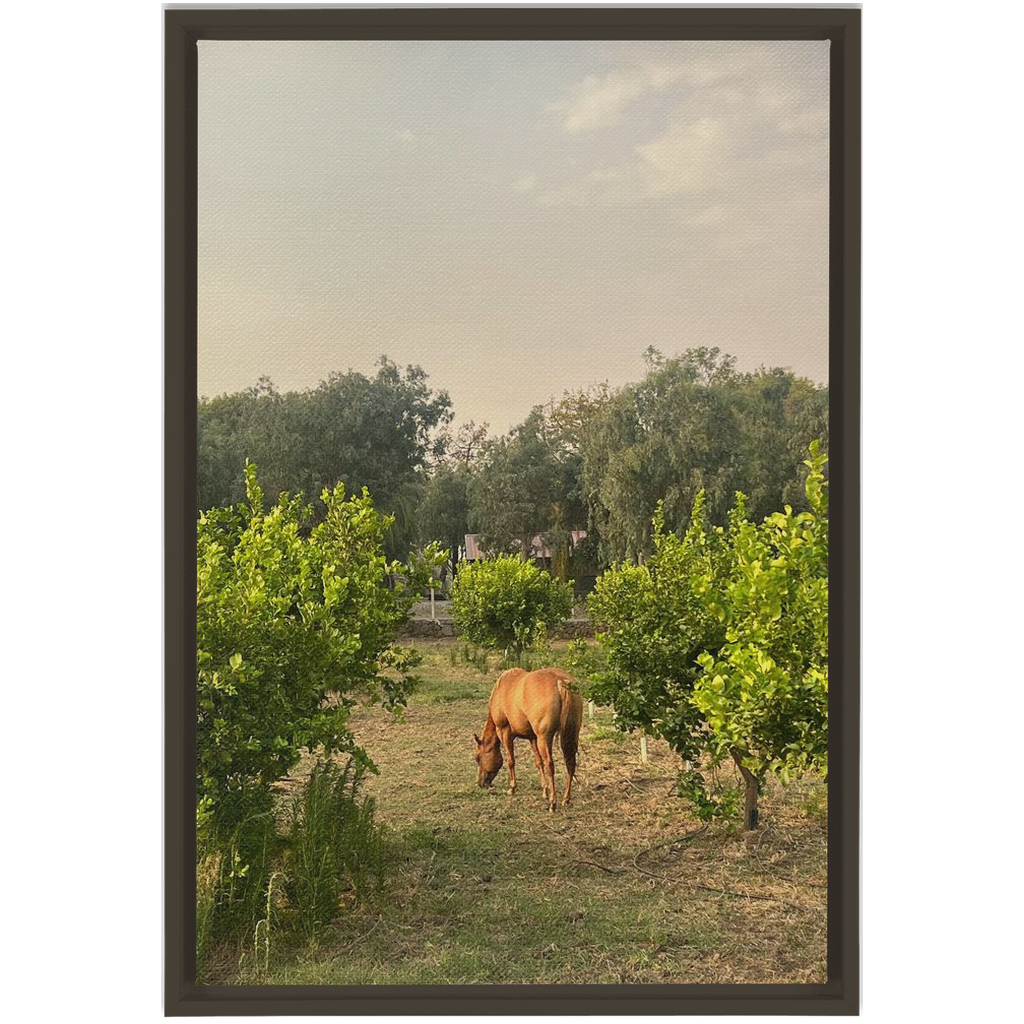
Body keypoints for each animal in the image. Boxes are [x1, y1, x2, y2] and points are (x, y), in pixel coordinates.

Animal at [473, 667, 585, 811]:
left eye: (478, 758)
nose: (481, 783)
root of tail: (560, 682)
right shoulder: (532, 738)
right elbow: (538, 762)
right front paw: (544, 791)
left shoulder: (504, 732)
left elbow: (511, 761)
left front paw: (512, 788)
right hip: (570, 735)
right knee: (570, 763)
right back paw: (566, 799)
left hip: (544, 738)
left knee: (550, 765)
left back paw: (553, 803)